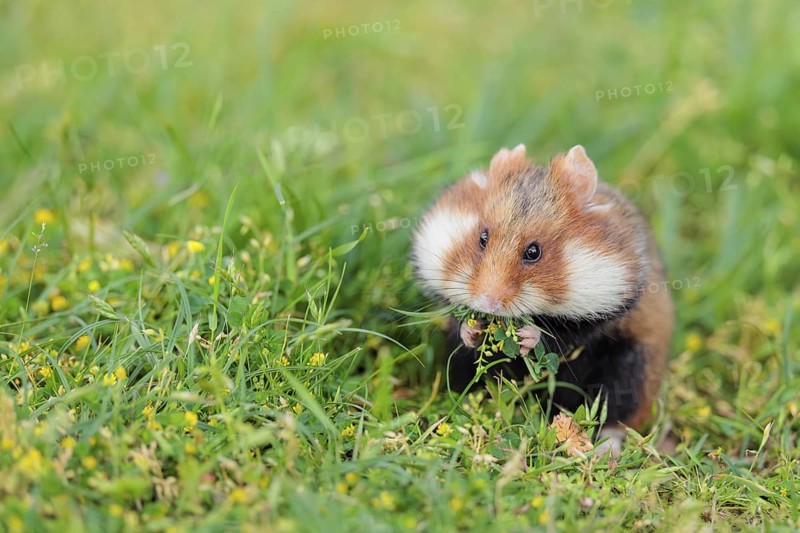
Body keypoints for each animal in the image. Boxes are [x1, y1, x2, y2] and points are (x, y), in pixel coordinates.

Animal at [412, 144, 674, 455]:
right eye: (483, 238)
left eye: (534, 252)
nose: (487, 303)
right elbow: (457, 320)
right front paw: (472, 330)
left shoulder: (605, 311)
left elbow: (562, 336)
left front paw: (527, 336)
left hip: (633, 368)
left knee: (616, 415)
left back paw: (603, 451)